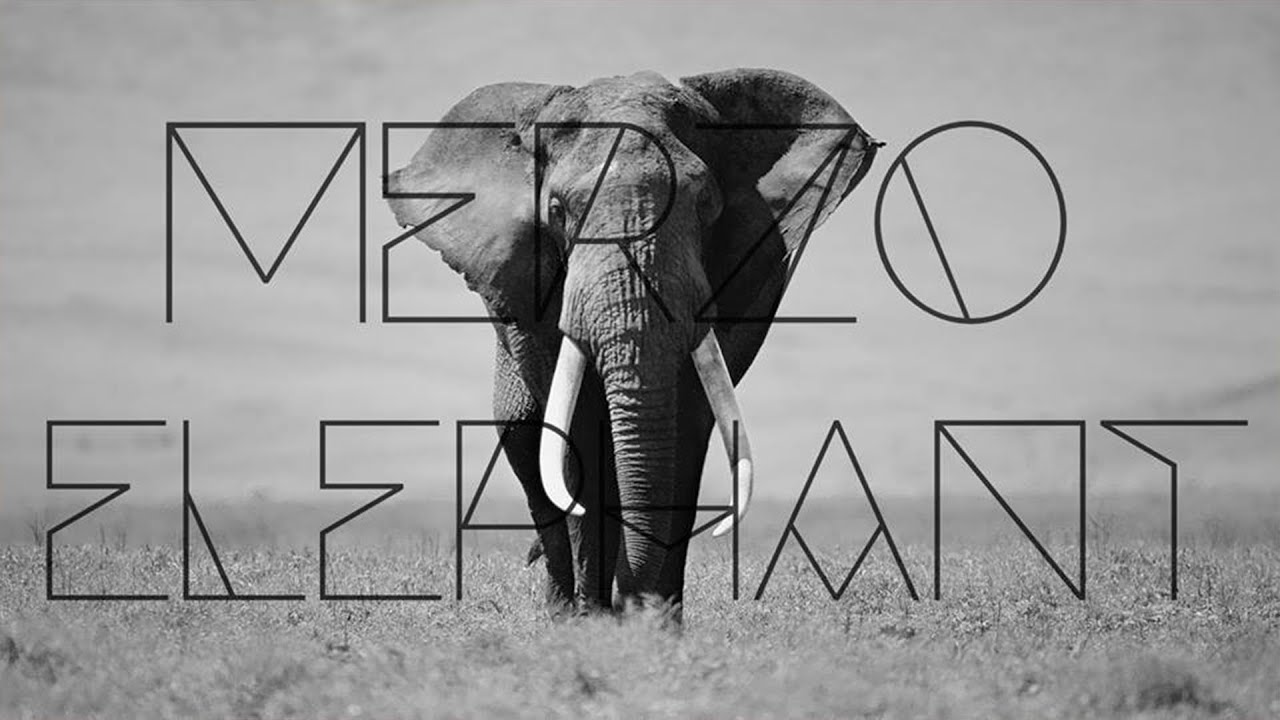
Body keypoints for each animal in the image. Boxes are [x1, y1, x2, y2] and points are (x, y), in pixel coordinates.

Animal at [387, 68, 878, 621]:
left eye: (706, 205)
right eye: (557, 210)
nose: (626, 605)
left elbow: (689, 417)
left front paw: (655, 621)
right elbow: (576, 425)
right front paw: (593, 620)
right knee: (522, 436)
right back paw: (563, 609)